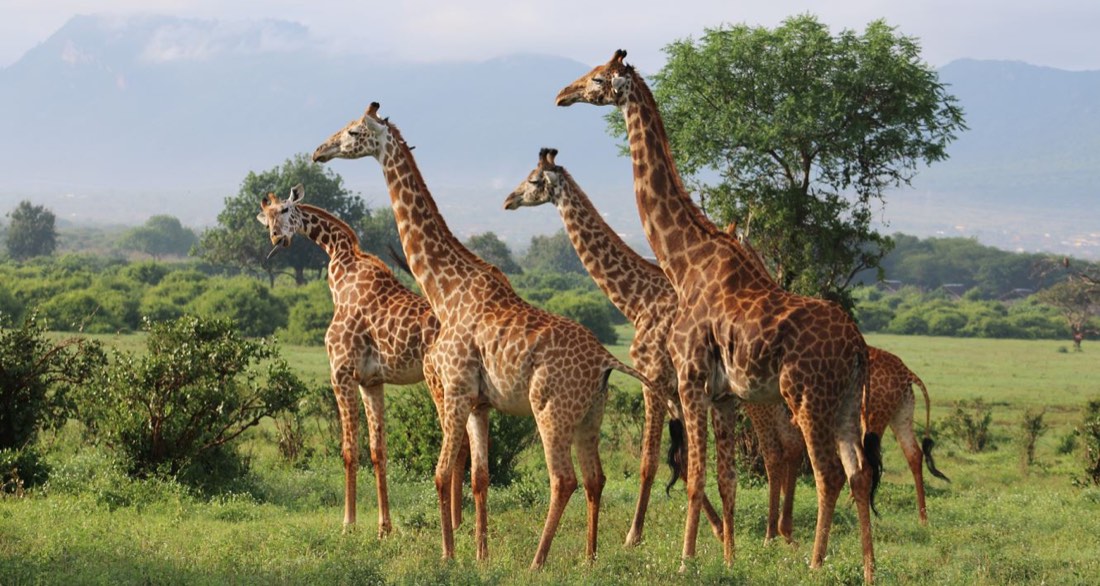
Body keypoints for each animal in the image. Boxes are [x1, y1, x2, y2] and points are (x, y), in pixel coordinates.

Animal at [256, 185, 467, 537]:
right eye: (266, 218)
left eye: (285, 210)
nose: (277, 237)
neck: (340, 274)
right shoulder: (372, 382)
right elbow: (378, 450)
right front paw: (384, 527)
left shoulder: (340, 372)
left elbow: (348, 450)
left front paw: (348, 523)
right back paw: (463, 523)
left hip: (442, 384)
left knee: (460, 444)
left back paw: (454, 523)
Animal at [312, 103, 653, 568]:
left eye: (352, 132)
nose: (318, 152)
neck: (445, 290)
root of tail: (606, 360)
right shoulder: (478, 403)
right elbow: (480, 477)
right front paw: (481, 554)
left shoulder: (455, 390)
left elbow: (441, 474)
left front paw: (447, 554)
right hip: (591, 414)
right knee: (595, 477)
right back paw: (590, 558)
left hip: (551, 409)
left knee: (563, 479)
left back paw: (537, 561)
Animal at [504, 147, 801, 546]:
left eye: (534, 180)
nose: (509, 200)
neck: (638, 300)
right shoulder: (675, 391)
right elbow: (686, 463)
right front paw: (715, 528)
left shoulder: (654, 380)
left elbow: (650, 461)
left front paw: (633, 535)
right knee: (791, 444)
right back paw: (783, 531)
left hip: (755, 397)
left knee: (775, 450)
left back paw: (774, 534)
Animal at [556, 50, 881, 582]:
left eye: (599, 79)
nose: (563, 94)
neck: (683, 260)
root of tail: (857, 346)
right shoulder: (725, 395)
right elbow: (725, 480)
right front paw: (728, 558)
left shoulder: (689, 379)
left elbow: (693, 475)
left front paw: (686, 559)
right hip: (848, 401)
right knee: (858, 474)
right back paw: (869, 568)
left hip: (808, 397)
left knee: (828, 474)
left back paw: (815, 562)